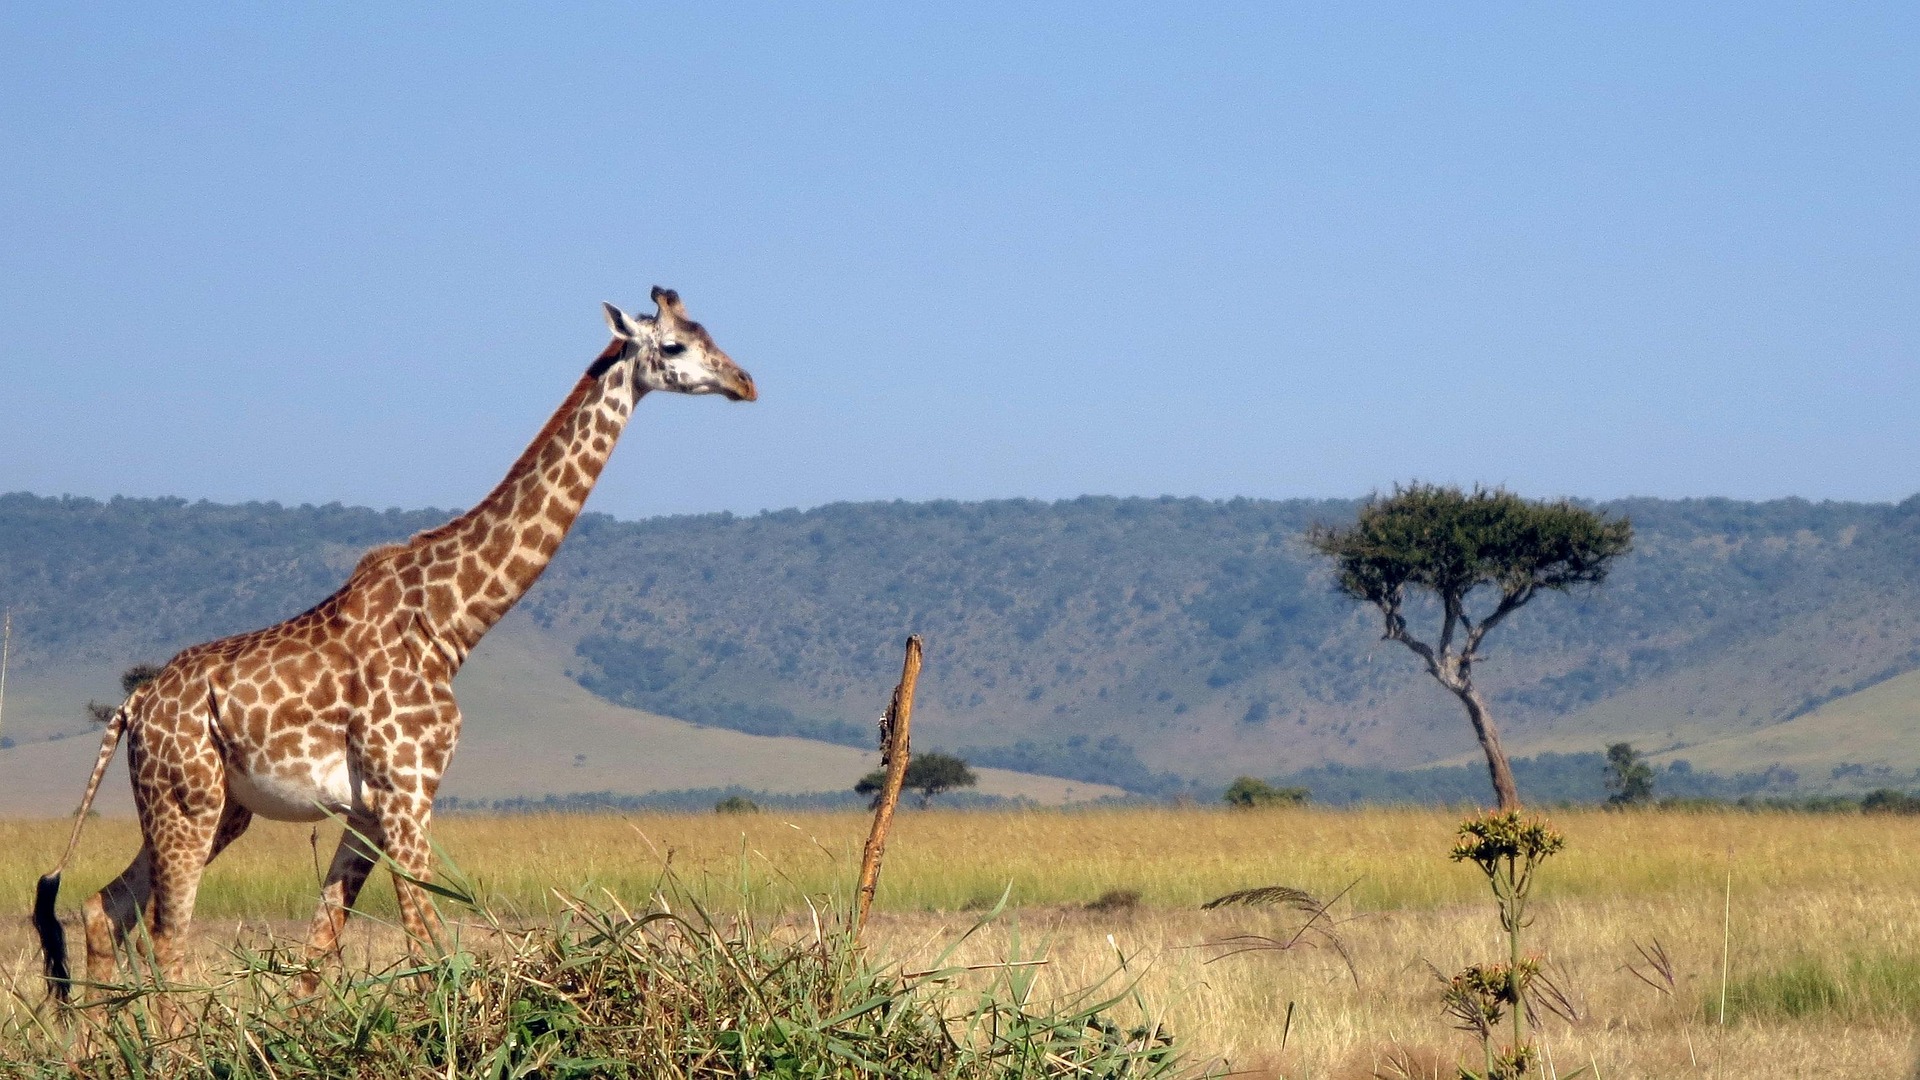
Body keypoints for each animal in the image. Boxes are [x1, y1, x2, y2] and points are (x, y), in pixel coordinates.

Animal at [34, 287, 755, 1007]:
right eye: (675, 345)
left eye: (709, 332)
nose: (745, 383)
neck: (451, 623)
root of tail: (132, 708)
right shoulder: (408, 792)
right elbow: (430, 949)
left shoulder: (369, 808)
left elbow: (320, 951)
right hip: (188, 800)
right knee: (167, 933)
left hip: (214, 809)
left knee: (106, 907)